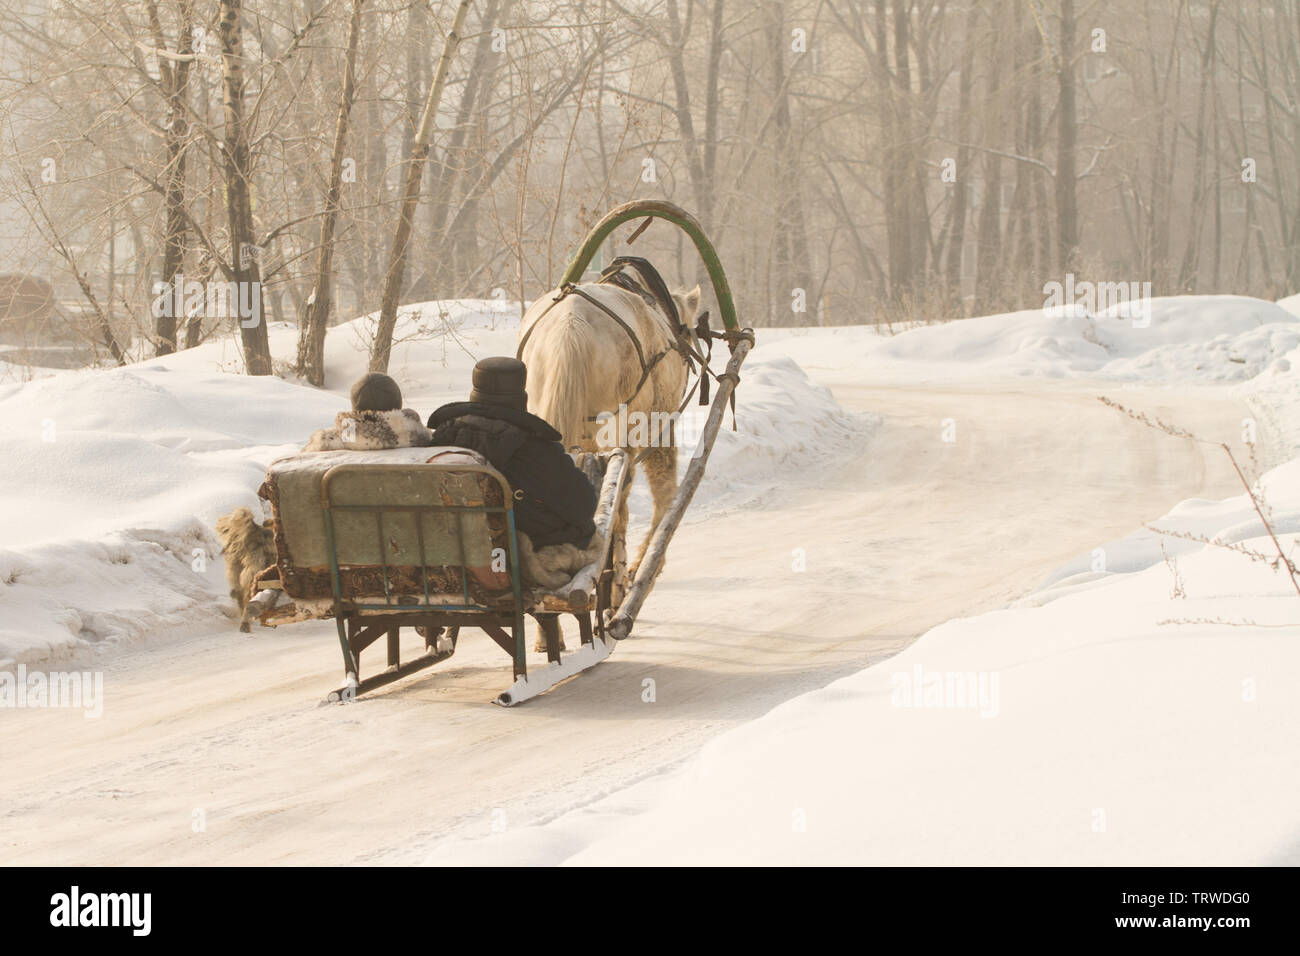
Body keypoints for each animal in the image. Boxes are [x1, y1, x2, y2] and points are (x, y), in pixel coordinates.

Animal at [517, 273, 702, 580]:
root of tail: (572, 325)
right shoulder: (658, 422)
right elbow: (664, 489)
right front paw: (648, 563)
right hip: (622, 422)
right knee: (623, 496)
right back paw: (618, 566)